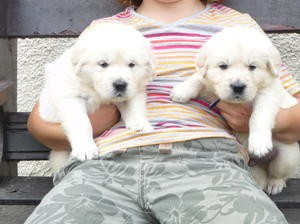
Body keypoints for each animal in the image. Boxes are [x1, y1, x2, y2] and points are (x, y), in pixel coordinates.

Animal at [39, 22, 155, 172]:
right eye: (103, 64)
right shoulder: (70, 97)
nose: (120, 85)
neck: (94, 89)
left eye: (131, 64)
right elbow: (82, 123)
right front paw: (85, 149)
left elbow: (134, 106)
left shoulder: (135, 89)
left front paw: (140, 124)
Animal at [171, 25, 300, 194]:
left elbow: (259, 116)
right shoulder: (212, 84)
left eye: (252, 67)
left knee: (279, 174)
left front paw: (259, 143)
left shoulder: (268, 93)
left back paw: (274, 184)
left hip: (287, 157)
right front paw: (182, 90)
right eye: (223, 66)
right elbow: (198, 77)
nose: (238, 87)